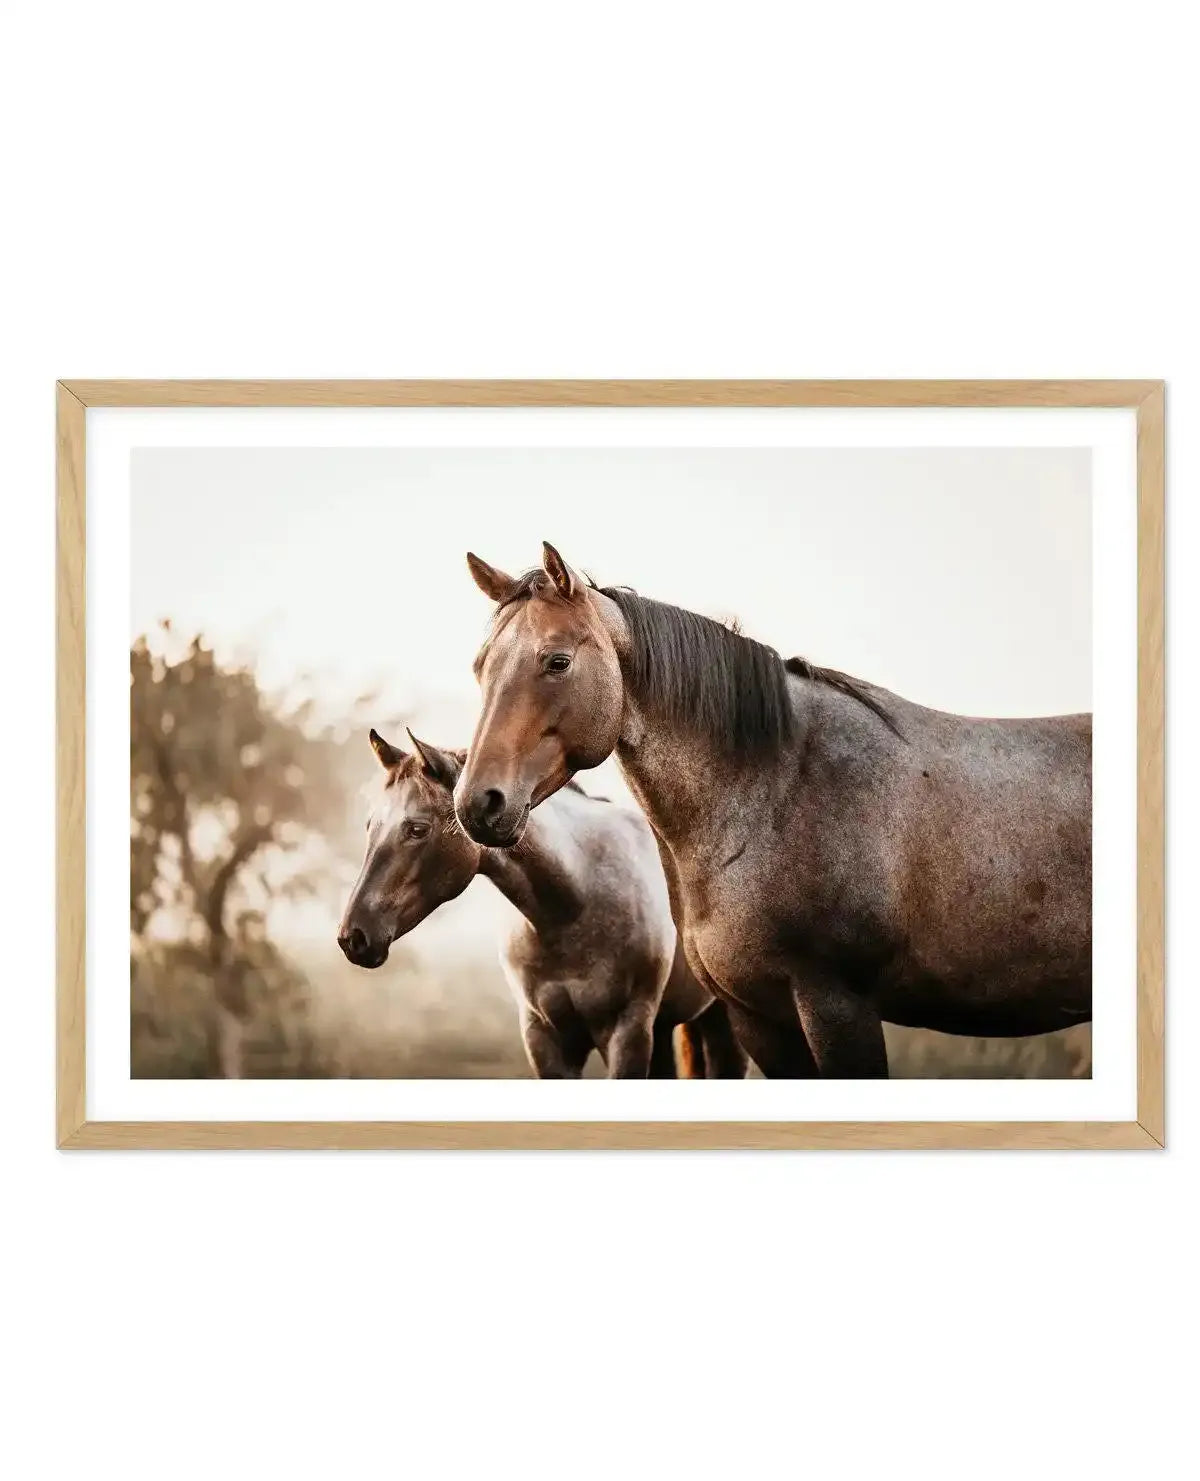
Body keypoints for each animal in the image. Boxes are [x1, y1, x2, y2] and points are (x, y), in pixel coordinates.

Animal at [337, 727, 747, 1079]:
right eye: (370, 826)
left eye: (417, 829)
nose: (352, 937)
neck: (574, 907)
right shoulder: (544, 1037)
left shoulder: (627, 1031)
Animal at [454, 542, 1093, 1079]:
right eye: (481, 667)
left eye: (557, 662)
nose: (478, 803)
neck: (776, 791)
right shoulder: (757, 1016)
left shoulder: (839, 1007)